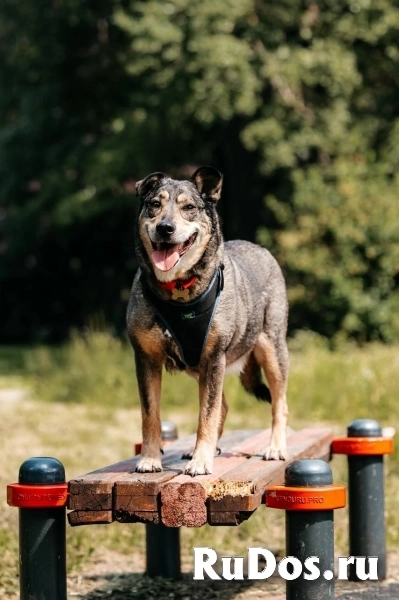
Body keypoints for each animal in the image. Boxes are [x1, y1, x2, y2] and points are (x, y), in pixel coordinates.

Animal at [128, 166, 290, 476]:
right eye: (154, 204)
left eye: (189, 207)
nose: (165, 228)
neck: (177, 290)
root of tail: (261, 249)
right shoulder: (146, 358)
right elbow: (150, 414)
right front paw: (150, 459)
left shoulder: (214, 357)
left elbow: (207, 414)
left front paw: (201, 462)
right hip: (197, 367)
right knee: (223, 406)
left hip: (272, 349)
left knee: (279, 403)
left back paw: (276, 447)